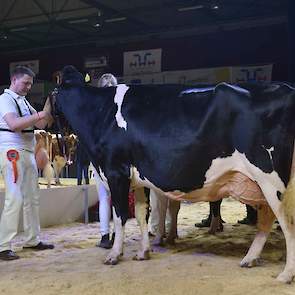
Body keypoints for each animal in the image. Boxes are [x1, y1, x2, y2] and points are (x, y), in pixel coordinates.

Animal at [50, 66, 295, 284]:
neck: (100, 113)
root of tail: (285, 88)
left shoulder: (116, 172)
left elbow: (120, 216)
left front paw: (114, 255)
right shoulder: (137, 179)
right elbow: (141, 214)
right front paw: (143, 252)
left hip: (272, 180)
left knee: (287, 223)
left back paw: (285, 274)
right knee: (267, 219)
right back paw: (250, 258)